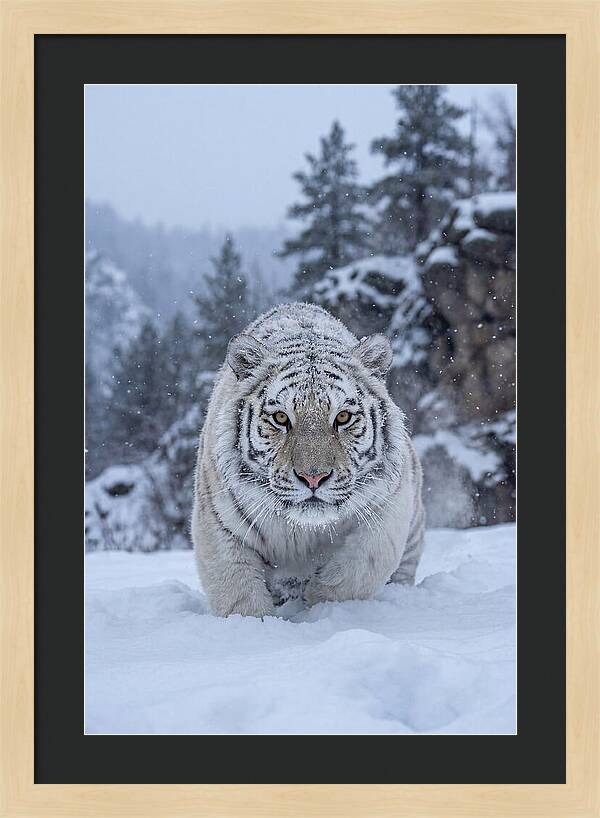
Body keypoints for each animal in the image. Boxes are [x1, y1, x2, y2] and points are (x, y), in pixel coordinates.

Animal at [192, 302, 425, 618]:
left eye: (343, 417)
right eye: (280, 418)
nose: (313, 477)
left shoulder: (388, 508)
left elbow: (358, 570)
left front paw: (320, 602)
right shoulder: (219, 524)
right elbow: (238, 594)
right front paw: (256, 624)